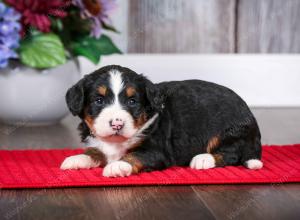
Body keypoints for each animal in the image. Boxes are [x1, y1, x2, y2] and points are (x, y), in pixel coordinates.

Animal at [61, 65, 262, 177]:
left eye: (132, 101)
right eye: (99, 100)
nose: (117, 124)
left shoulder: (157, 151)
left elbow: (134, 155)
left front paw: (118, 165)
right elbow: (95, 151)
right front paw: (76, 159)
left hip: (229, 131)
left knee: (232, 153)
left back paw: (203, 159)